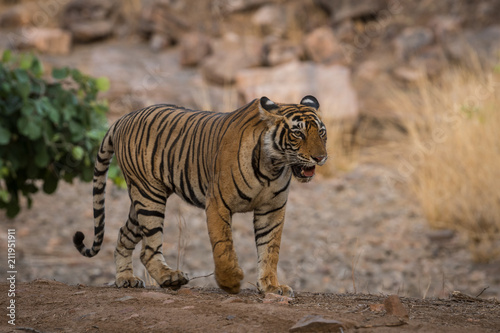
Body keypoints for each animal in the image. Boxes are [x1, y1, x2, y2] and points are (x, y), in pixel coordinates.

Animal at [71, 94, 328, 294]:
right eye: (298, 134)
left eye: (322, 133)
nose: (320, 157)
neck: (272, 166)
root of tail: (123, 117)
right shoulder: (218, 204)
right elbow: (223, 246)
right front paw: (230, 282)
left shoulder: (272, 208)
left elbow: (270, 248)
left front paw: (271, 286)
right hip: (149, 196)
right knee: (148, 249)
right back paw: (170, 278)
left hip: (142, 201)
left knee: (124, 234)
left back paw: (125, 279)